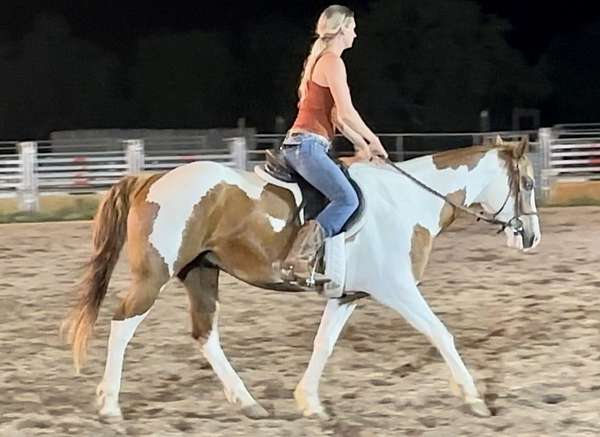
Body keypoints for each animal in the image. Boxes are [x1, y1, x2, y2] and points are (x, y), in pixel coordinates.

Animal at [63, 135, 540, 418]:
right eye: (530, 184)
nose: (531, 237)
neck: (406, 200)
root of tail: (151, 179)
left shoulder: (348, 295)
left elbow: (323, 344)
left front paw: (308, 403)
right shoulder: (398, 289)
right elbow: (441, 334)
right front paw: (474, 398)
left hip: (200, 273)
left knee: (205, 335)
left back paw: (248, 402)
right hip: (154, 275)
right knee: (123, 324)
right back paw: (110, 407)